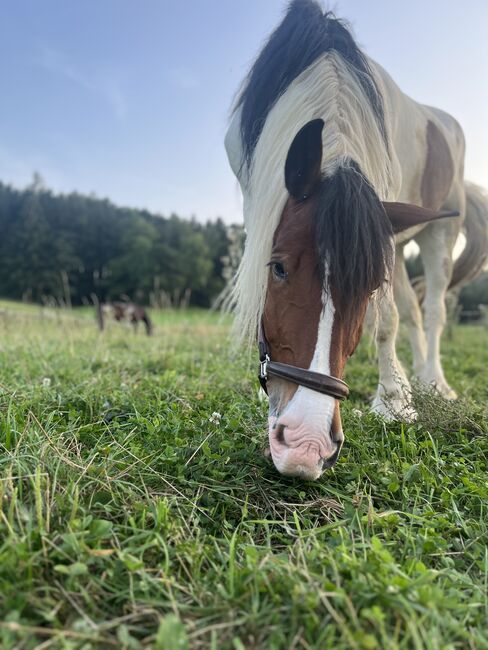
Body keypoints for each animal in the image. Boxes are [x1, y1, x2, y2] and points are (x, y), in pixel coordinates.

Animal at [225, 0, 488, 476]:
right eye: (278, 267)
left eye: (369, 286)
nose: (306, 445)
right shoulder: (257, 193)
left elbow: (385, 320)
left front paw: (393, 402)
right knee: (414, 311)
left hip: (439, 230)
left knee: (433, 310)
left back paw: (432, 382)